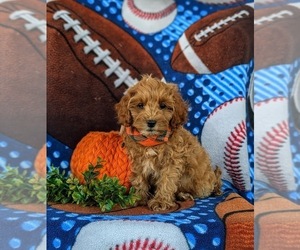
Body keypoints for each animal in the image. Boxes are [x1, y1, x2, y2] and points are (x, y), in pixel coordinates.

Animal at [115, 75, 223, 211]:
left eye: (163, 105)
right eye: (140, 105)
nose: (151, 122)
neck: (152, 140)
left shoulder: (172, 161)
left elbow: (167, 181)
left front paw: (160, 201)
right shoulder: (138, 161)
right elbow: (139, 180)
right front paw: (137, 198)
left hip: (202, 184)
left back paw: (184, 195)